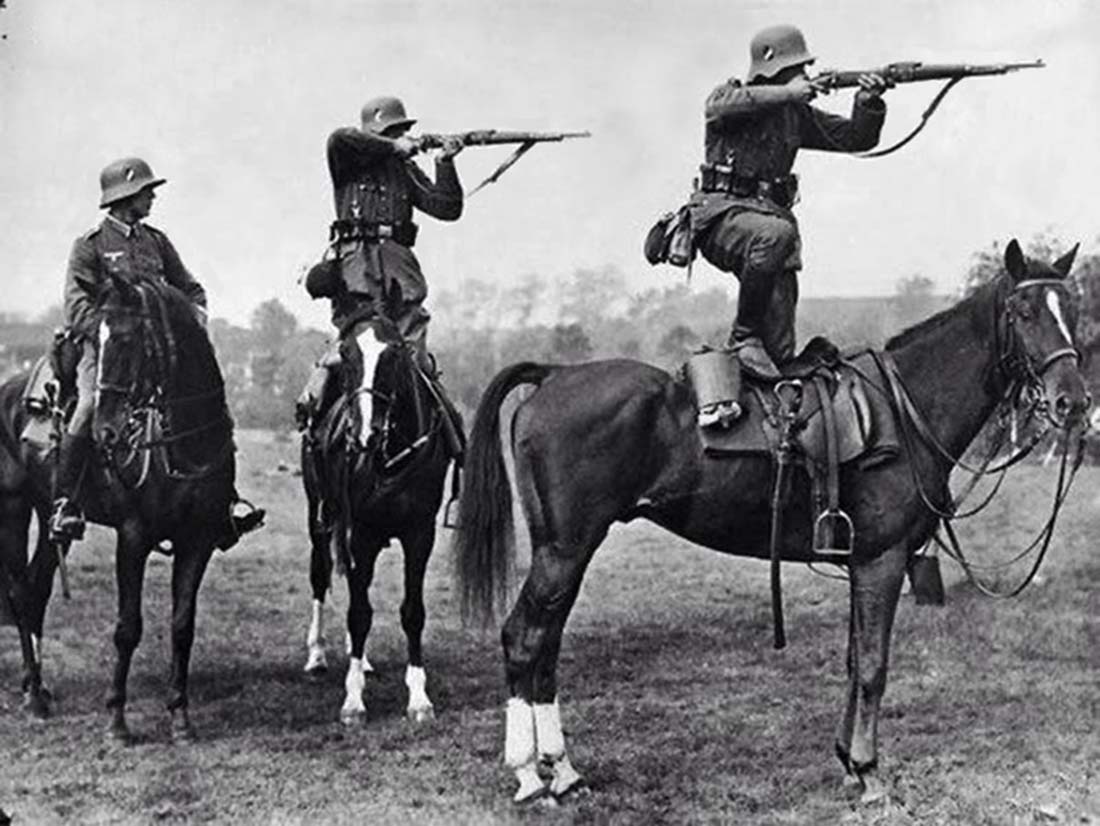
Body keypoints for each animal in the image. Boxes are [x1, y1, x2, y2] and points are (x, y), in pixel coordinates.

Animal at [0, 278, 242, 743]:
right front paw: (117, 718)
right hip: (14, 508)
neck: (179, 444)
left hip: (48, 515)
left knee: (38, 589)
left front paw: (180, 716)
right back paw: (34, 695)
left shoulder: (198, 540)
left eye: (130, 341)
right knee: (20, 593)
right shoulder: (133, 537)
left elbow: (182, 626)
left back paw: (34, 688)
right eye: (93, 340)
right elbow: (127, 628)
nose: (105, 431)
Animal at [301, 336, 459, 721]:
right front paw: (354, 701)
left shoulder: (420, 535)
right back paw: (317, 655)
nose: (364, 434)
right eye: (348, 356)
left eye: (393, 355)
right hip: (319, 519)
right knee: (320, 576)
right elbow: (359, 614)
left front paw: (419, 697)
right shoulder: (360, 534)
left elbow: (412, 612)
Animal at [451, 237, 1086, 800]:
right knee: (524, 638)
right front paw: (869, 772)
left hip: (563, 551)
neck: (905, 408)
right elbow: (874, 666)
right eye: (1023, 312)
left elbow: (854, 660)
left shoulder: (862, 565)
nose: (1073, 402)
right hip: (565, 549)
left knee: (546, 646)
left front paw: (847, 761)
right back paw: (530, 775)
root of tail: (552, 375)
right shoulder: (881, 561)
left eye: (1071, 310)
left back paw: (563, 771)